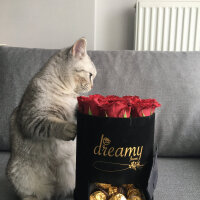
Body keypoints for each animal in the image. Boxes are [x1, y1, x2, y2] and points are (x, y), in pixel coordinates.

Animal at [6, 38, 97, 200]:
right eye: (90, 75)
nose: (92, 86)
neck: (66, 93)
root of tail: (55, 191)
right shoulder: (34, 117)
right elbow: (53, 124)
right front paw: (68, 128)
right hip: (19, 173)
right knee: (33, 194)